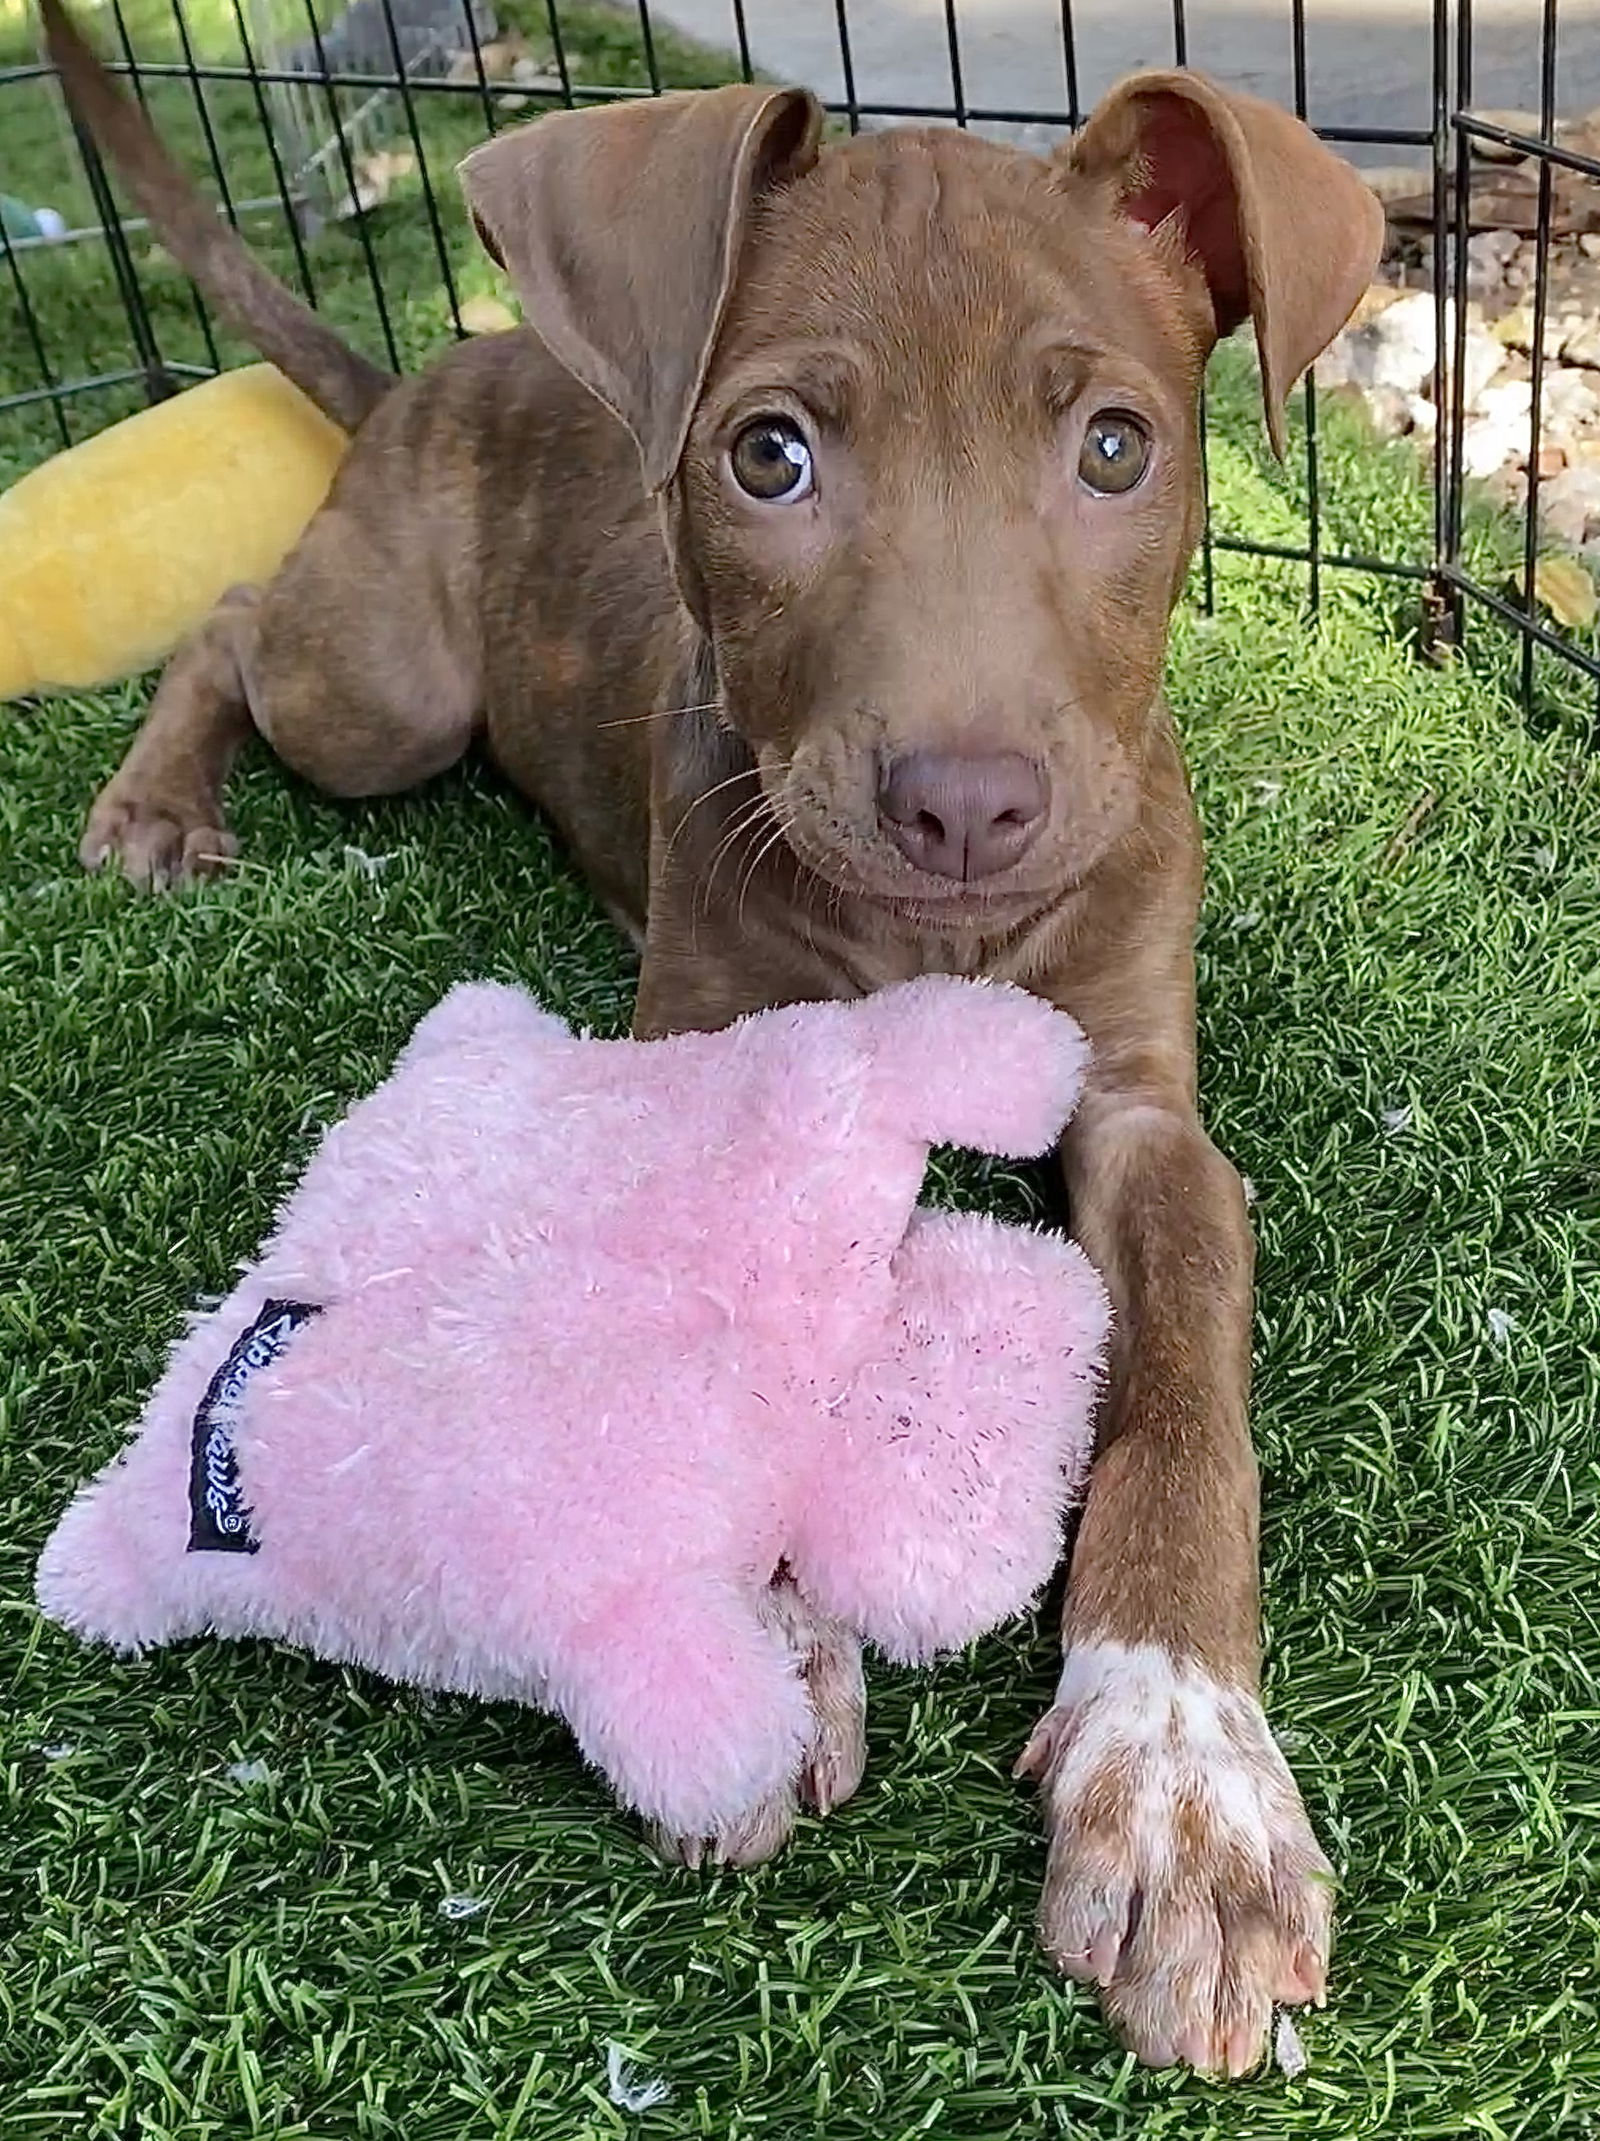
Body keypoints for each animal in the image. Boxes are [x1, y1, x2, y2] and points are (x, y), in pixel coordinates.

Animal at [40, 0, 1387, 2072]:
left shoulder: (1151, 1111)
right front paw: (754, 1629)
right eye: (770, 457)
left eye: (1114, 448)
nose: (966, 809)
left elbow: (1178, 1410)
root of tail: (446, 359)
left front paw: (1181, 1776)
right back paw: (156, 804)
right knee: (239, 618)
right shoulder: (697, 1039)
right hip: (385, 698)